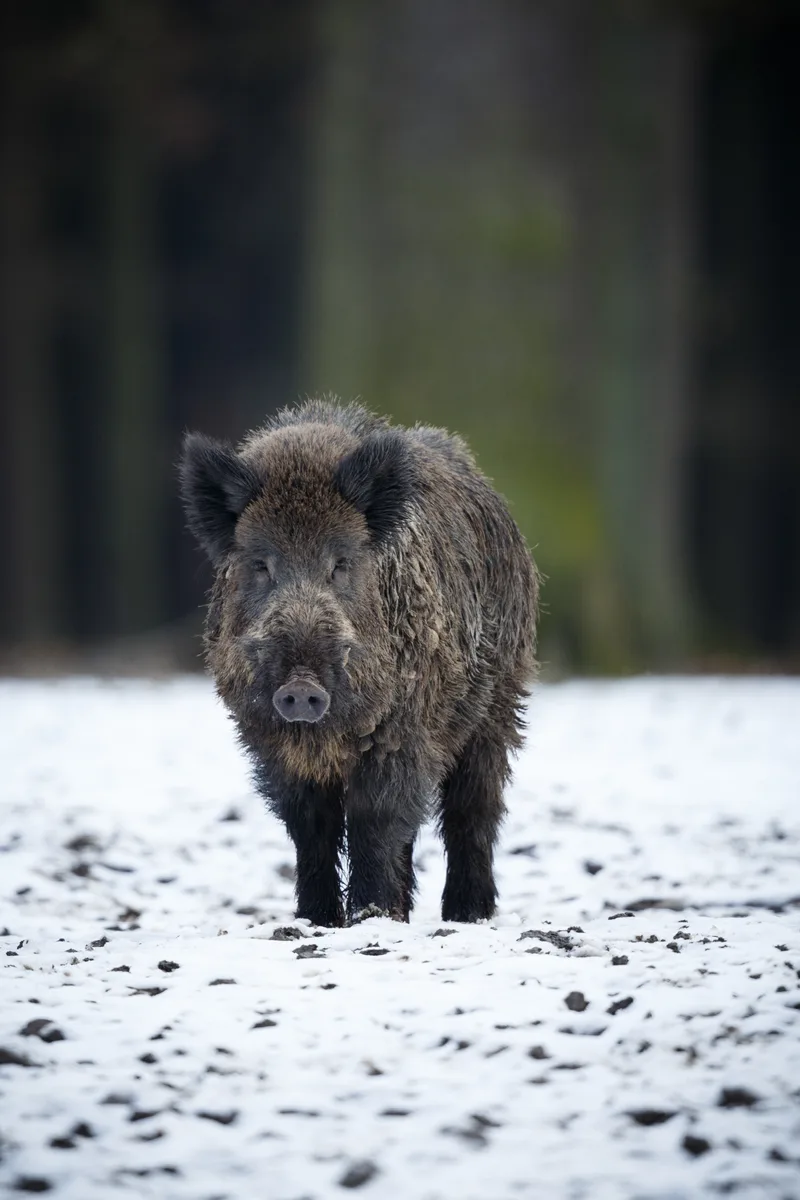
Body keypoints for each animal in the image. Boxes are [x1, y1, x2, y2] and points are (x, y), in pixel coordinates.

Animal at [180, 399, 538, 926]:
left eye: (341, 563)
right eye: (261, 564)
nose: (301, 687)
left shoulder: (403, 730)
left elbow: (376, 817)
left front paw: (371, 916)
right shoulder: (270, 742)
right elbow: (311, 825)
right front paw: (317, 919)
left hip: (499, 705)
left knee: (472, 809)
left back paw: (466, 914)